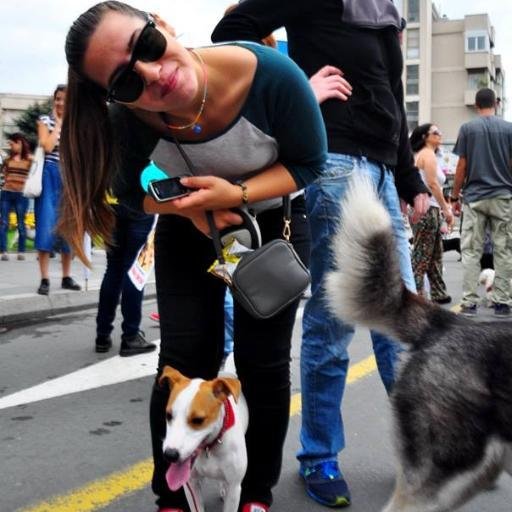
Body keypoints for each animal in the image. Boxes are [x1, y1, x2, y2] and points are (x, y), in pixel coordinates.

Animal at [159, 362, 249, 510]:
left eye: (198, 420)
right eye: (168, 415)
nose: (170, 455)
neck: (210, 447)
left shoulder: (234, 488)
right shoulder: (191, 485)